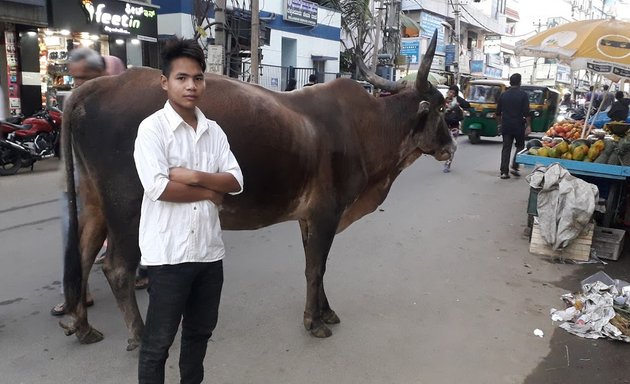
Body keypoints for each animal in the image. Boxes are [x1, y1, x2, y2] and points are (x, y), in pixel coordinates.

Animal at [59, 32, 454, 352]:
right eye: (441, 107)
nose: (450, 146)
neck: (367, 128)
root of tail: (91, 88)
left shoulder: (308, 218)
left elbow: (316, 266)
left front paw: (325, 311)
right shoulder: (327, 213)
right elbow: (316, 268)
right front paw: (314, 322)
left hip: (95, 201)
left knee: (83, 253)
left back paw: (81, 325)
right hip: (128, 208)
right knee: (116, 268)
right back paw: (139, 336)